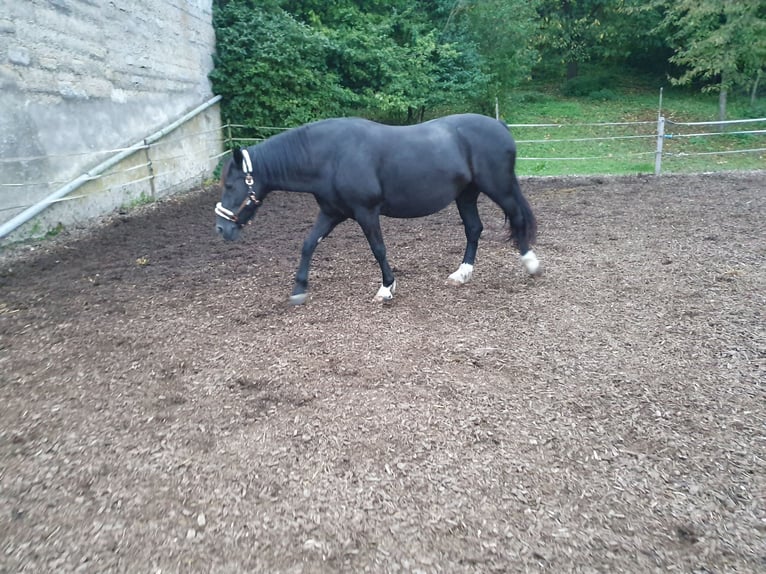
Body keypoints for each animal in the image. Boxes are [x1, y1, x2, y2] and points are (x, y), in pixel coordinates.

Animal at [214, 112, 540, 306]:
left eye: (230, 185)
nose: (221, 228)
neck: (329, 155)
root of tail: (499, 125)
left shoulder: (366, 212)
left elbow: (378, 249)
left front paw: (386, 289)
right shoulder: (331, 213)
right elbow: (308, 244)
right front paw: (298, 290)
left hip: (498, 188)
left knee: (517, 218)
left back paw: (531, 264)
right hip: (467, 195)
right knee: (474, 229)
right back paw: (462, 274)